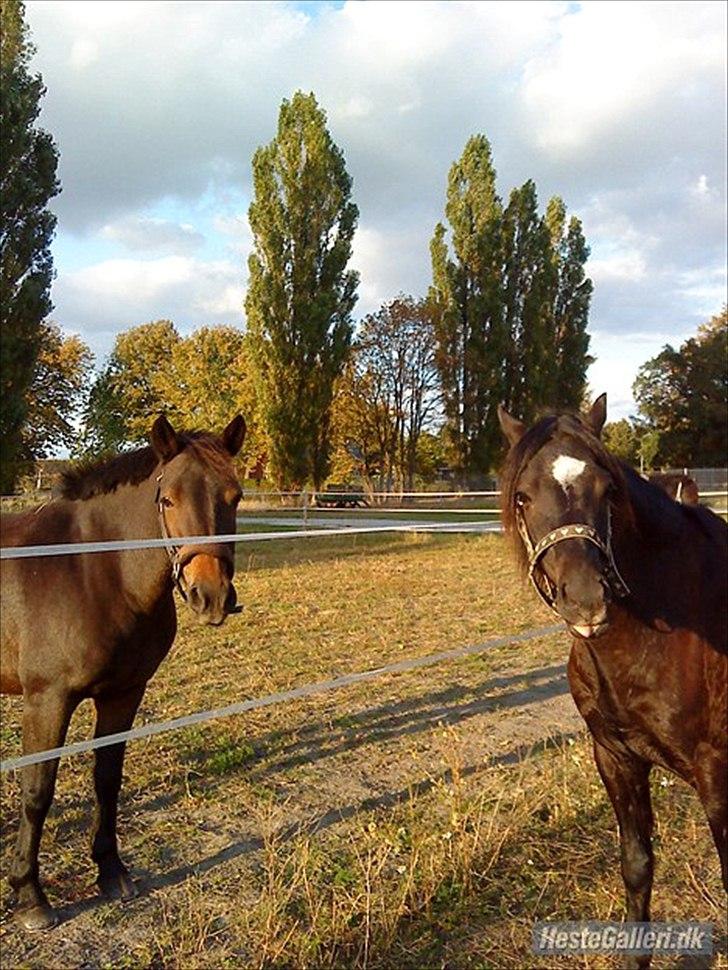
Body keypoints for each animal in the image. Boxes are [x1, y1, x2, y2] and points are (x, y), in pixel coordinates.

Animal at [0, 413, 246, 930]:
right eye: (167, 499)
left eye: (235, 496)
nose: (211, 596)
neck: (92, 569)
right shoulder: (46, 700)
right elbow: (37, 791)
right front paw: (30, 895)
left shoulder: (124, 693)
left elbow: (107, 779)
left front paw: (111, 871)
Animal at [497, 395, 727, 968]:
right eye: (522, 496)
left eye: (607, 489)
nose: (586, 599)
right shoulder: (616, 756)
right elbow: (637, 865)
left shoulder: (717, 772)